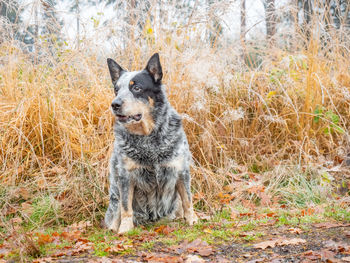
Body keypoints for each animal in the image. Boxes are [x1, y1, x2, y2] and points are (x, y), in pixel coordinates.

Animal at [103, 52, 197, 234]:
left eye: (136, 88)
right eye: (116, 89)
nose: (115, 104)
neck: (149, 138)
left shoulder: (181, 170)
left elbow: (188, 200)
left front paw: (193, 220)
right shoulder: (125, 176)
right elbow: (126, 208)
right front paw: (125, 229)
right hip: (115, 196)